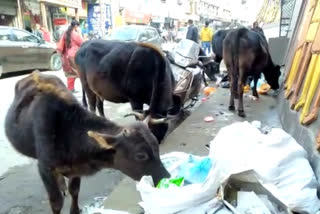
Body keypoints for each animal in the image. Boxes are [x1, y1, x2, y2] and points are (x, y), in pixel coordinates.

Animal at [5, 71, 170, 214]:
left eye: (156, 146)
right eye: (140, 155)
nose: (167, 177)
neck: (67, 131)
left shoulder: (75, 169)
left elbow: (74, 190)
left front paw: (75, 210)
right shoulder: (45, 168)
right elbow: (56, 202)